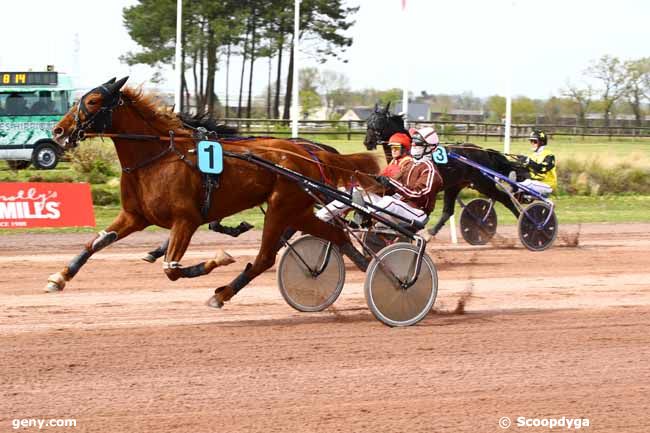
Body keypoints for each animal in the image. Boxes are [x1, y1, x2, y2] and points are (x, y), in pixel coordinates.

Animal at [49, 77, 380, 308]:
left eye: (93, 101)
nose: (58, 131)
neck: (157, 156)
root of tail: (311, 153)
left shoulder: (186, 220)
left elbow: (171, 268)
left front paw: (218, 259)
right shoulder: (135, 215)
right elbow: (95, 243)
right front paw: (59, 277)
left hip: (281, 208)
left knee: (265, 257)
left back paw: (222, 294)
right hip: (298, 211)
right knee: (335, 236)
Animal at [364, 102, 528, 235]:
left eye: (379, 122)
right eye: (368, 121)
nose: (368, 142)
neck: (410, 150)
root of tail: (484, 152)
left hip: (483, 183)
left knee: (505, 198)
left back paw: (523, 221)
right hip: (455, 186)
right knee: (448, 211)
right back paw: (433, 231)